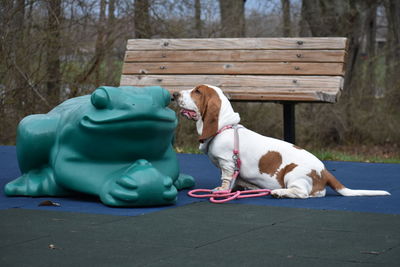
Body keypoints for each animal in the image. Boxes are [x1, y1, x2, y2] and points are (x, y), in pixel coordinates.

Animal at [173, 85, 390, 200]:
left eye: (197, 92)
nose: (175, 94)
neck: (224, 127)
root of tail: (325, 172)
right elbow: (235, 181)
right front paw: (240, 189)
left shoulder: (227, 164)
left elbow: (226, 179)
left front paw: (222, 192)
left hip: (293, 173)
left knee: (302, 193)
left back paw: (279, 192)